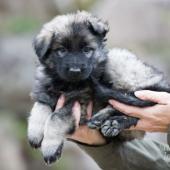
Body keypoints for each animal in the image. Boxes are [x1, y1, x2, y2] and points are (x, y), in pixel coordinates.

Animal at [27, 10, 170, 165]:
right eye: (62, 50)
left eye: (86, 50)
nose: (75, 71)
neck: (65, 82)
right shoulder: (45, 93)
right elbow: (39, 108)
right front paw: (34, 134)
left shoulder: (78, 102)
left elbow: (55, 118)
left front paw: (50, 148)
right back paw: (109, 122)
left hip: (122, 63)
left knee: (131, 105)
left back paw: (106, 119)